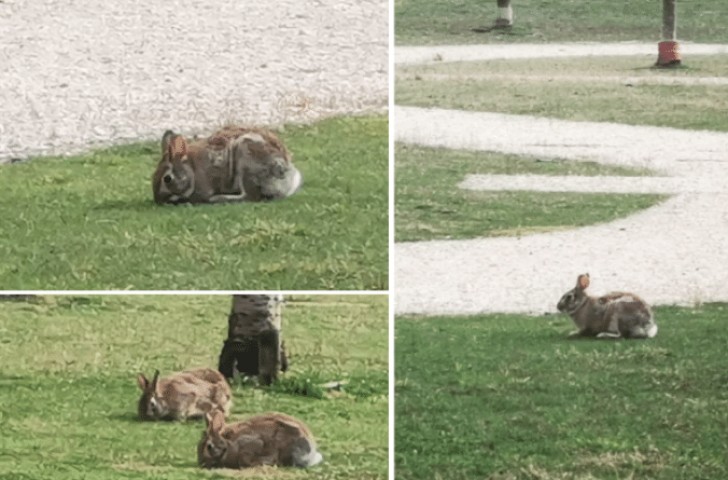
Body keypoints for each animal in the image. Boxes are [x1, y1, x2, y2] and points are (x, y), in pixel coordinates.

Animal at [152, 125, 302, 204]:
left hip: (247, 160)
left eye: (167, 179)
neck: (191, 170)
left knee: (250, 196)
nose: (158, 200)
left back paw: (218, 198)